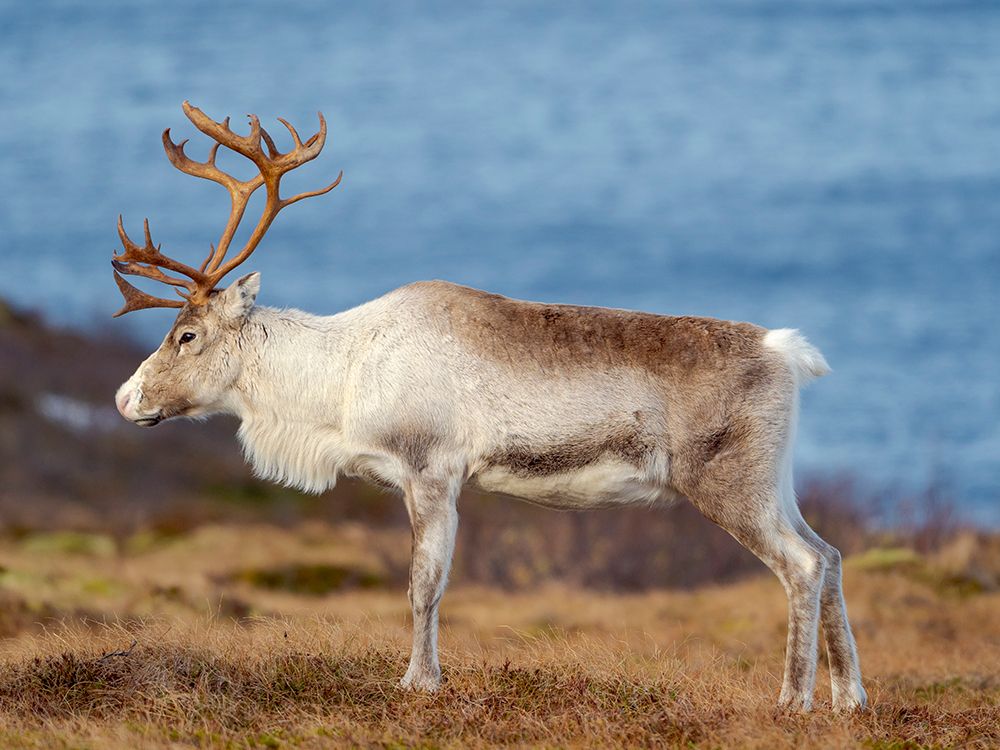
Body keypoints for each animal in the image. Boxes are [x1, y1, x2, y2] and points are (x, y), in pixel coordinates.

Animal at [112, 102, 866, 711]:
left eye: (186, 335)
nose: (125, 398)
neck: (340, 379)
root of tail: (785, 352)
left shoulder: (430, 471)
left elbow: (424, 584)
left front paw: (418, 683)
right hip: (774, 481)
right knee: (829, 554)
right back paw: (848, 699)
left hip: (727, 482)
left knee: (801, 566)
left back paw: (792, 700)